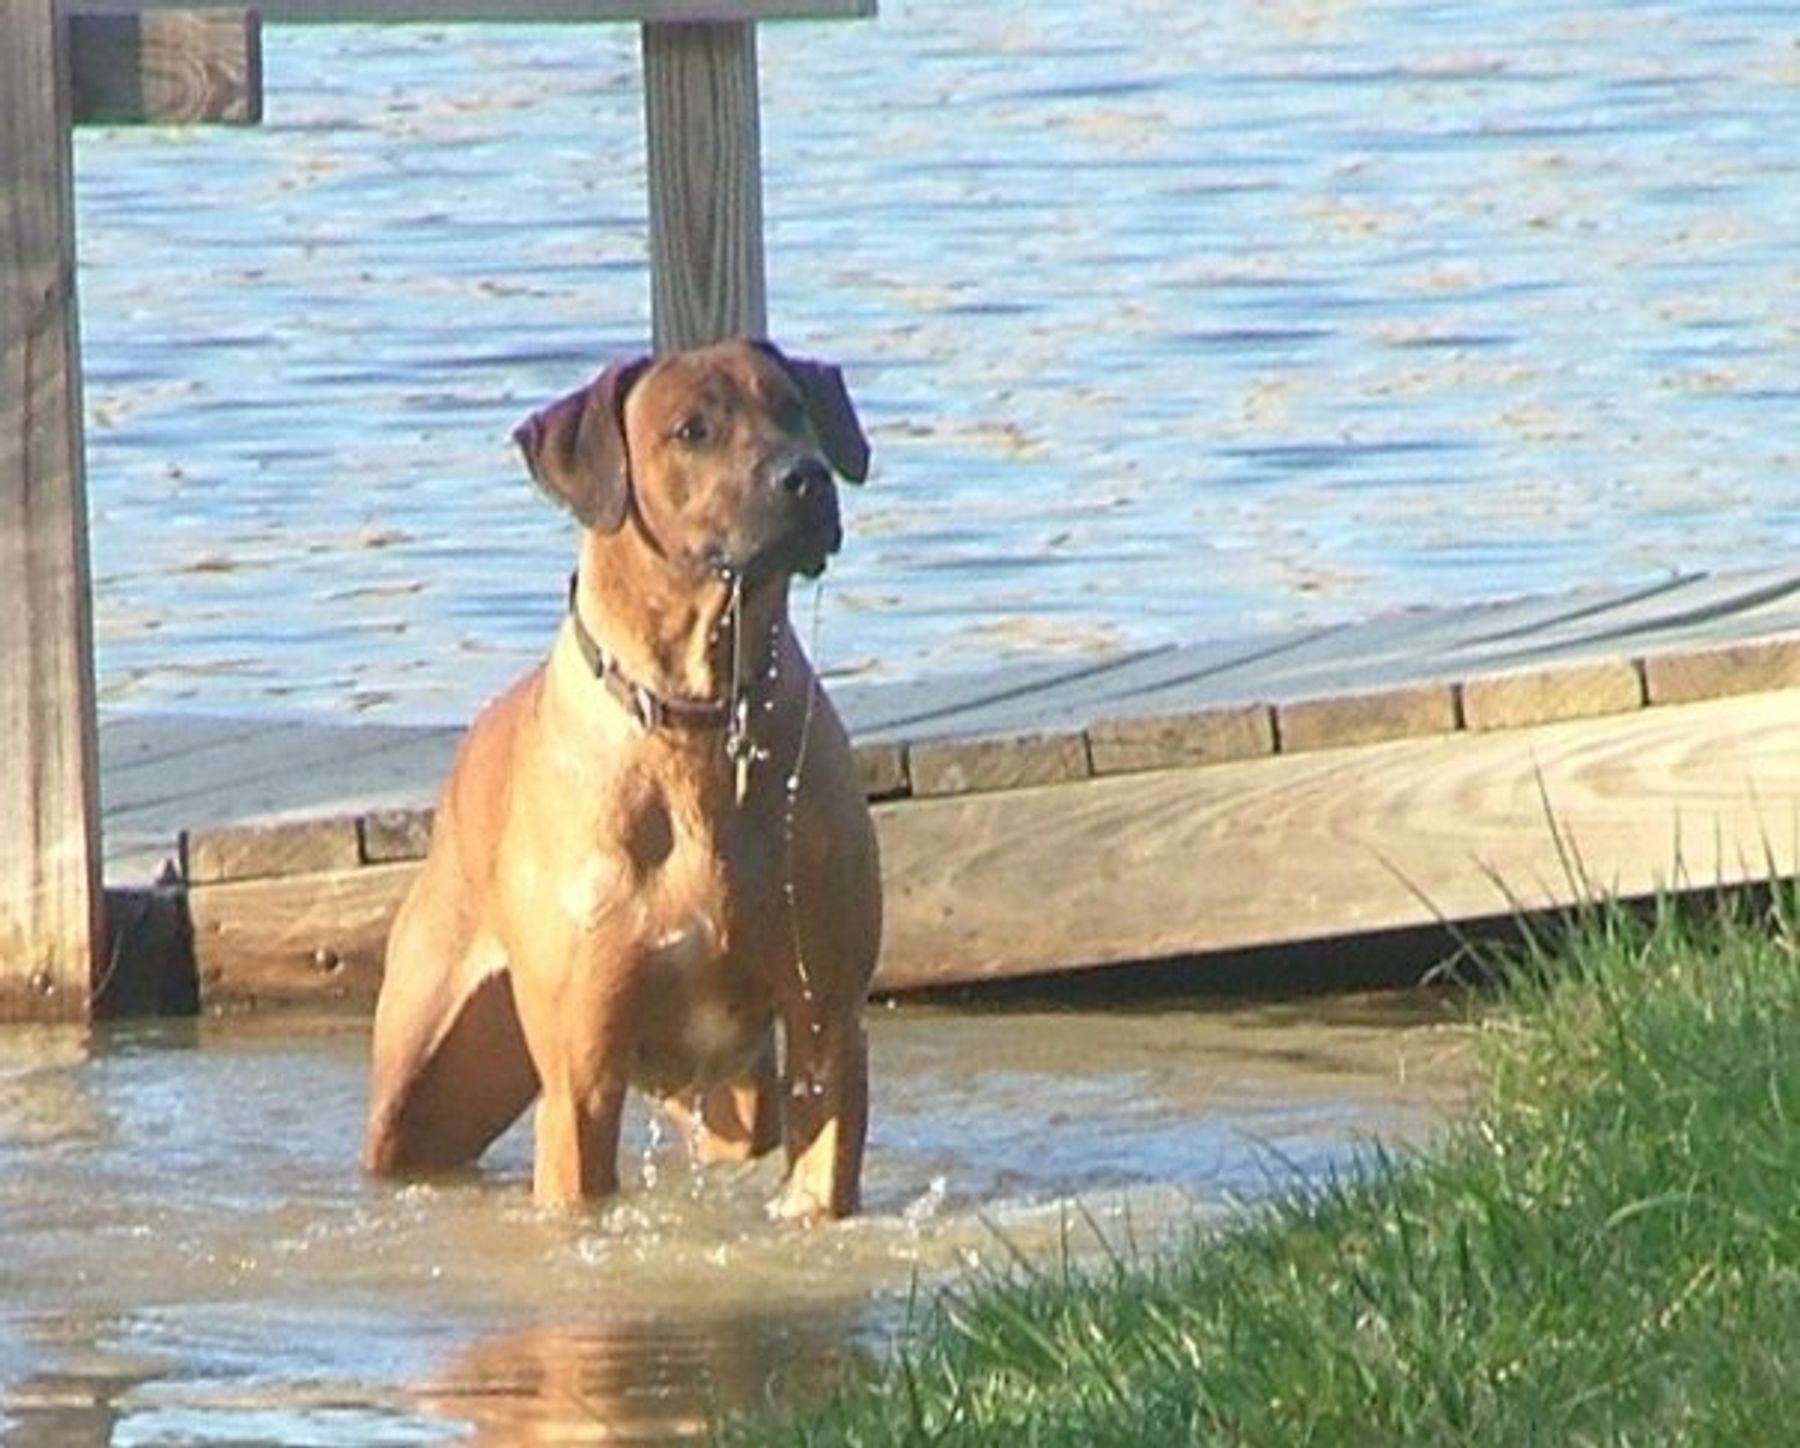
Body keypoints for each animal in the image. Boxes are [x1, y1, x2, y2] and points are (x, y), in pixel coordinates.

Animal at [361, 342, 882, 1224]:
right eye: (691, 430)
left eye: (793, 407)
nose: (806, 477)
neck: (698, 720)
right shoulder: (582, 1075)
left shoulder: (826, 1023)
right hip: (420, 1077)